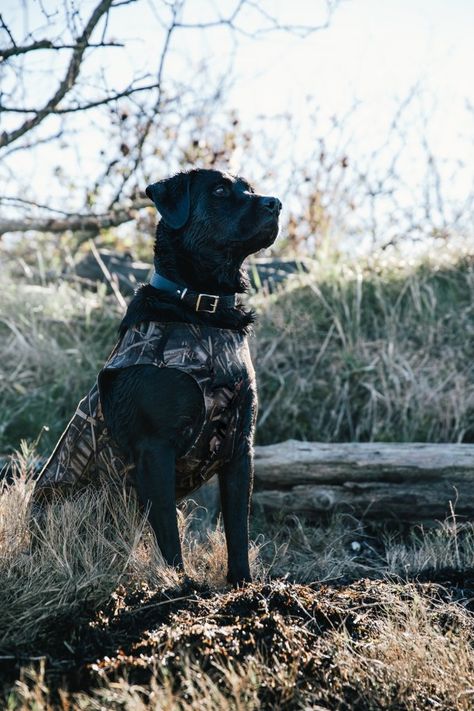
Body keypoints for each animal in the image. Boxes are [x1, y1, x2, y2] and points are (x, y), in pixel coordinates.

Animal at [32, 170, 282, 588]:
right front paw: (179, 586)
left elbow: (238, 529)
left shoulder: (239, 447)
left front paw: (242, 586)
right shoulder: (154, 449)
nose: (275, 203)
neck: (203, 312)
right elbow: (168, 530)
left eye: (249, 187)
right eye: (219, 190)